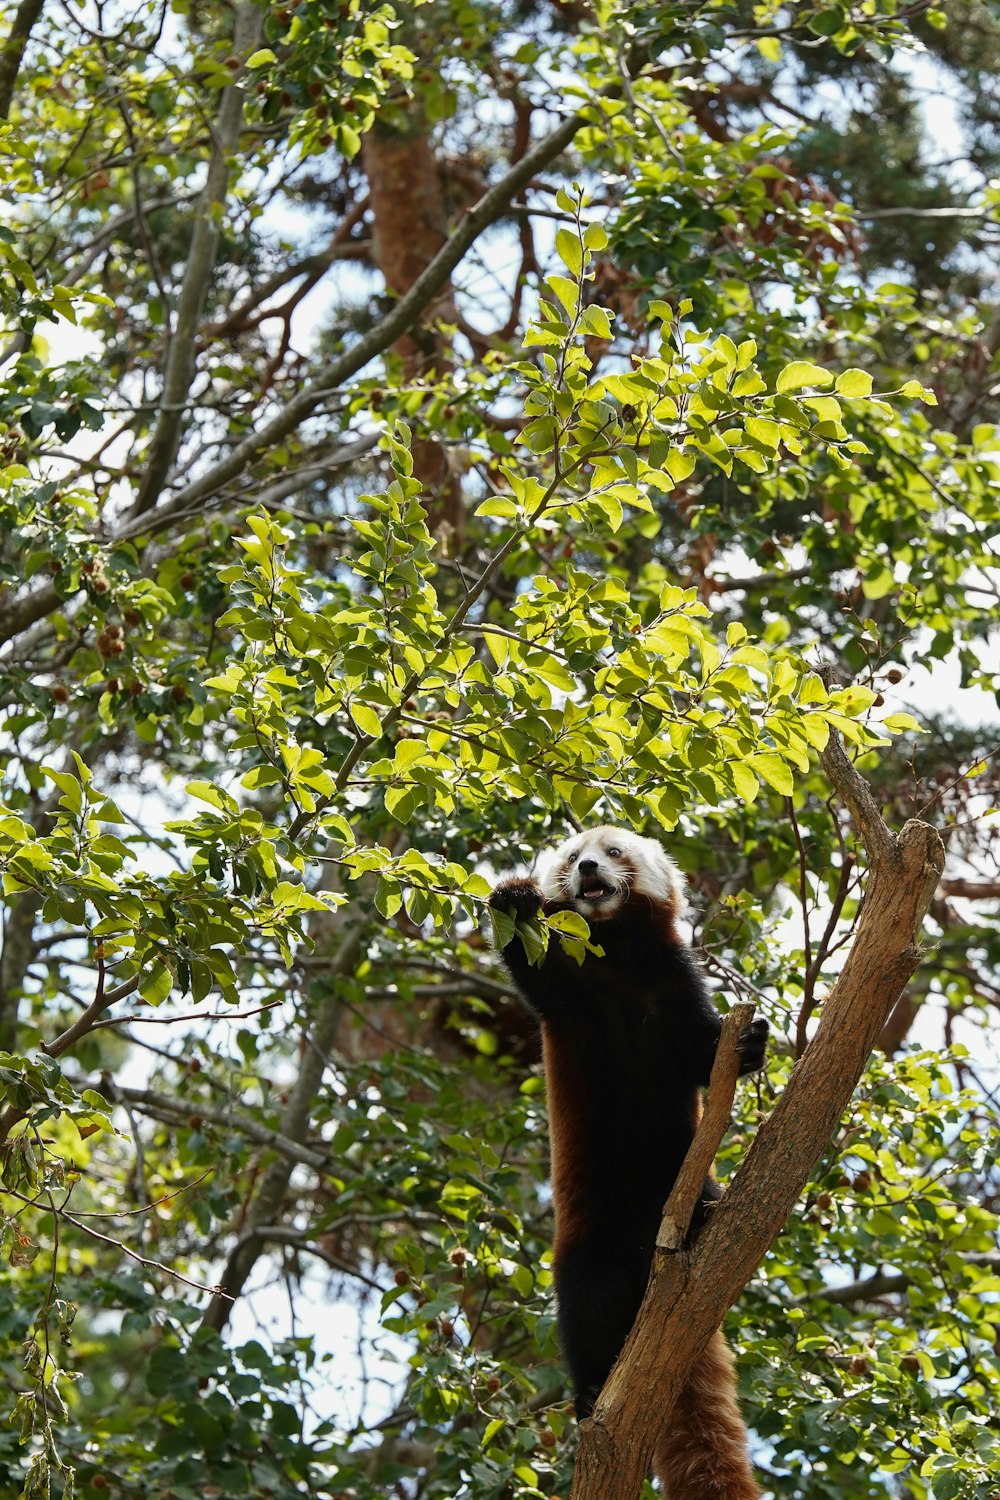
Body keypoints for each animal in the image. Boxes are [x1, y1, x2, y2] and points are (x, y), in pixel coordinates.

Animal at [491, 828, 767, 1494]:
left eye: (613, 852)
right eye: (572, 858)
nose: (589, 868)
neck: (617, 956)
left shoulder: (675, 986)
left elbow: (701, 1056)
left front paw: (748, 1045)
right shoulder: (571, 998)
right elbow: (537, 973)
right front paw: (513, 899)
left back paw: (701, 1217)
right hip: (589, 1248)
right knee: (585, 1310)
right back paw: (592, 1393)